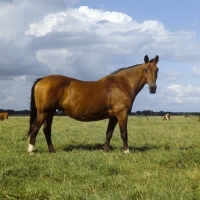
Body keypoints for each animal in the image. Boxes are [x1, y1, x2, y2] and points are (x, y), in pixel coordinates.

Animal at [27, 54, 159, 153]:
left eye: (157, 70)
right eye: (145, 69)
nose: (153, 88)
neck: (122, 84)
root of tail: (42, 79)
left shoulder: (113, 116)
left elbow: (109, 133)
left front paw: (105, 149)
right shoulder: (122, 114)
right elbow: (123, 133)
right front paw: (127, 151)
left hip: (50, 112)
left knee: (46, 129)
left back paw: (52, 150)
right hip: (43, 112)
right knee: (35, 128)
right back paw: (31, 150)